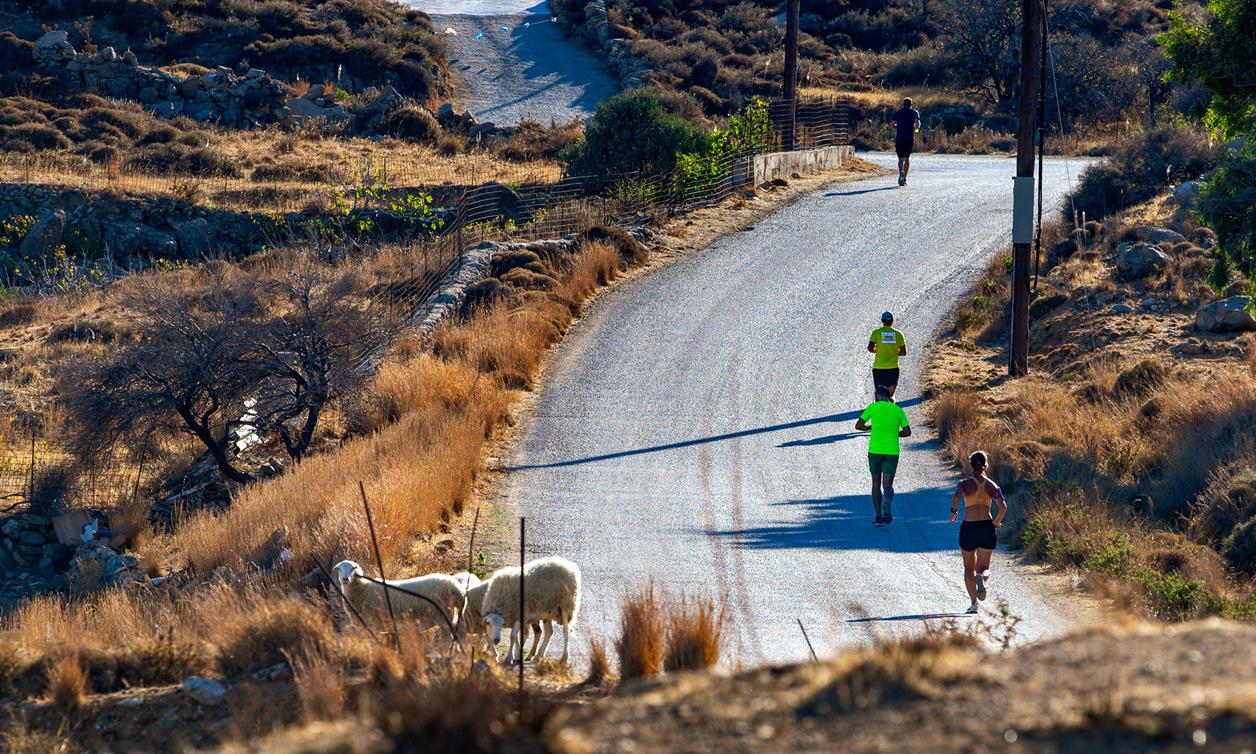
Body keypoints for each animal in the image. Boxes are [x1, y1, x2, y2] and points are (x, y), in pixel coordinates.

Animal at [334, 560, 467, 640]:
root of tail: (455, 586)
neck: (362, 589)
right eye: (339, 569)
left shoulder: (372, 624)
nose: (345, 579)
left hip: (444, 615)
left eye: (353, 568)